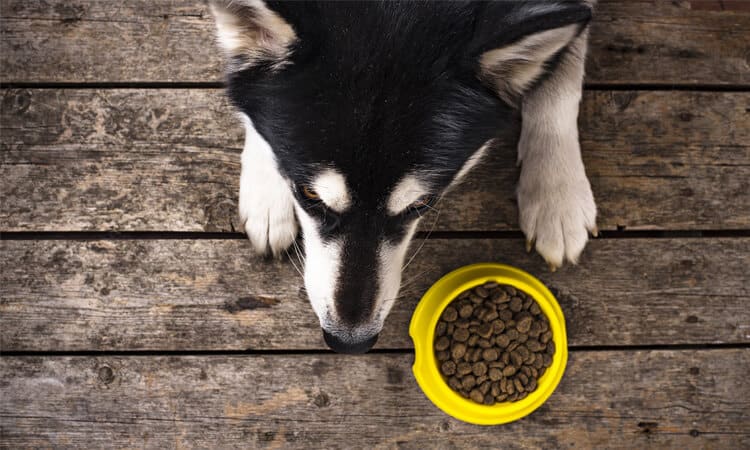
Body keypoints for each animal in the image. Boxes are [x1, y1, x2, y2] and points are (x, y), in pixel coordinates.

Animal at [210, 0, 600, 354]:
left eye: (422, 203)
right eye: (310, 195)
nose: (349, 343)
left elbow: (562, 72)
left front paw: (556, 195)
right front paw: (266, 192)